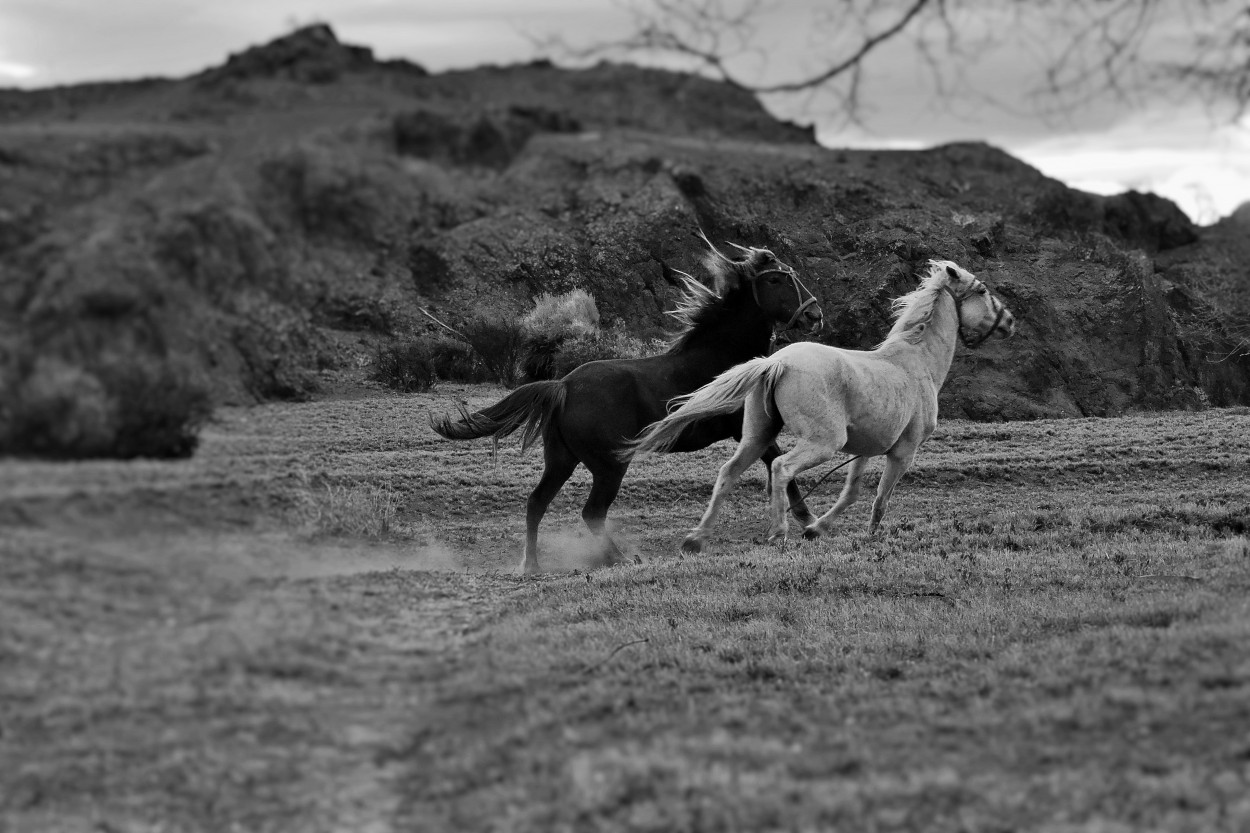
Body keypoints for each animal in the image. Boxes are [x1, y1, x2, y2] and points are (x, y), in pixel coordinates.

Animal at [435, 233, 825, 570]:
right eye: (775, 280)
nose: (814, 315)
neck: (724, 357)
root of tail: (564, 385)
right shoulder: (751, 432)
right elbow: (780, 467)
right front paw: (809, 520)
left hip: (562, 459)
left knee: (537, 503)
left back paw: (532, 565)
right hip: (608, 465)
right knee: (591, 512)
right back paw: (621, 558)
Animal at [635, 260, 1015, 550]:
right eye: (982, 291)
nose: (1010, 321)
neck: (916, 362)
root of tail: (777, 362)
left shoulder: (864, 449)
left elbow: (851, 492)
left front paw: (817, 529)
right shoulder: (903, 452)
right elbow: (880, 497)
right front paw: (865, 534)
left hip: (757, 436)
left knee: (729, 471)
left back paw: (697, 538)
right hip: (822, 442)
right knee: (781, 468)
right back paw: (777, 533)